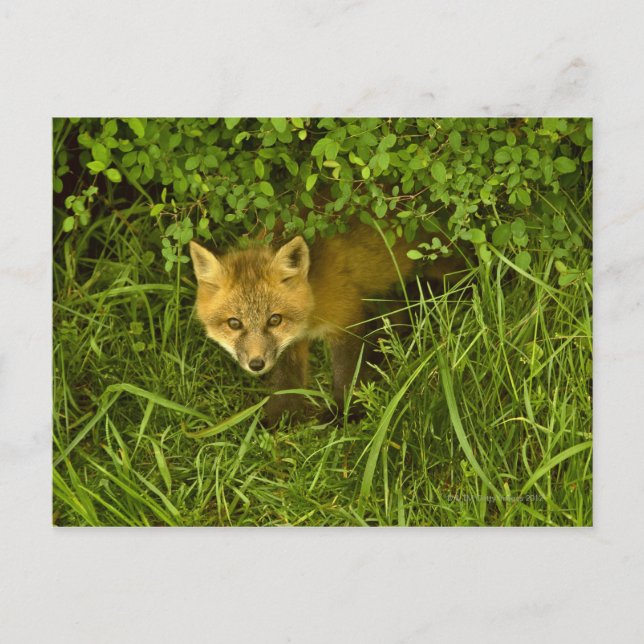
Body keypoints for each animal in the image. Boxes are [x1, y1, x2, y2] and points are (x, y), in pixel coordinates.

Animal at [189, 223, 462, 425]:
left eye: (274, 320)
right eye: (234, 323)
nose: (256, 364)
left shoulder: (346, 317)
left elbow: (347, 373)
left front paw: (345, 414)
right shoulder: (292, 342)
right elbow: (286, 379)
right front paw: (281, 417)